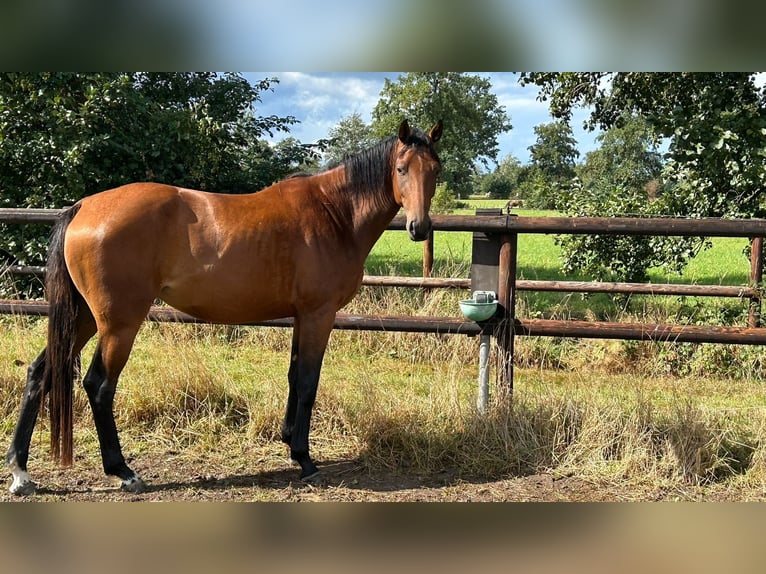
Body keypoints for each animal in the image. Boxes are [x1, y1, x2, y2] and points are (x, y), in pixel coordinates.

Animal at [6, 118, 444, 496]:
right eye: (401, 169)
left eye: (435, 170)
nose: (419, 228)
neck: (333, 213)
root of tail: (83, 207)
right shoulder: (319, 315)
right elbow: (307, 383)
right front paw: (304, 460)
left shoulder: (301, 317)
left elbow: (293, 377)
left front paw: (289, 442)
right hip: (118, 323)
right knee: (99, 385)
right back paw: (123, 471)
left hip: (81, 317)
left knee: (40, 372)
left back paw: (20, 471)